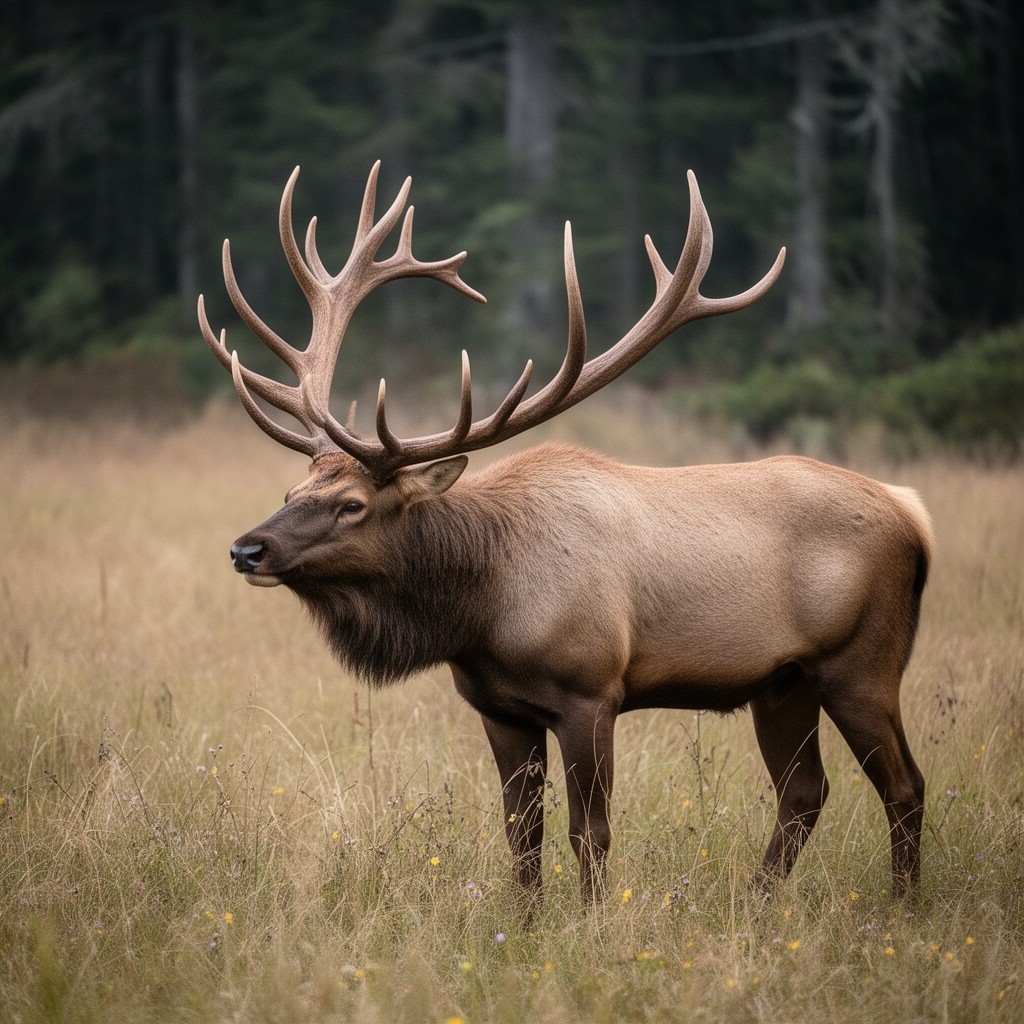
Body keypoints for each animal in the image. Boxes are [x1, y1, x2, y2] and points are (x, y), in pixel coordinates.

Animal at [198, 161, 932, 907]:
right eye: (291, 494)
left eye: (351, 505)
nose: (246, 548)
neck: (481, 610)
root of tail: (912, 514)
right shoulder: (500, 708)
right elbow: (523, 835)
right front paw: (524, 924)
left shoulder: (591, 690)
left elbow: (590, 833)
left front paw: (590, 923)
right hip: (782, 681)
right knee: (804, 792)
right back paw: (759, 902)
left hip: (861, 662)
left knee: (904, 784)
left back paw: (901, 906)